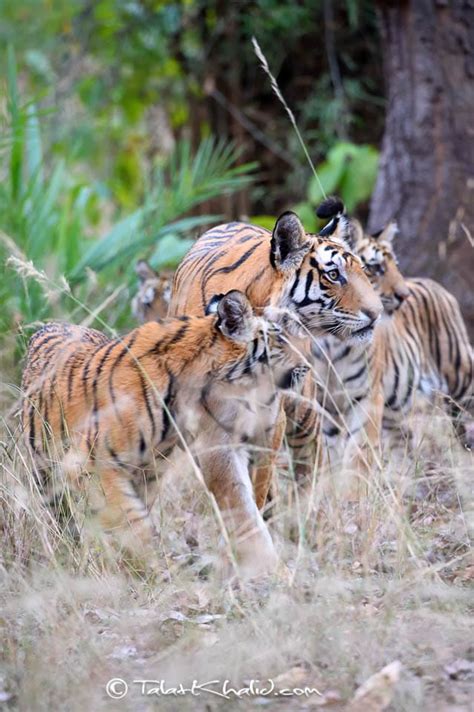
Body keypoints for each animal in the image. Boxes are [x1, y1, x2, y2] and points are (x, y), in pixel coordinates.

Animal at [21, 290, 286, 556]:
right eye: (282, 339)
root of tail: (51, 324)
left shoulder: (147, 472)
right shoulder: (90, 464)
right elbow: (131, 519)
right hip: (44, 472)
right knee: (62, 516)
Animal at [168, 204, 384, 572]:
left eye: (362, 272)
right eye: (333, 275)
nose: (377, 313)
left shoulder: (270, 420)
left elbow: (259, 484)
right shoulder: (209, 427)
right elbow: (235, 492)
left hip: (303, 414)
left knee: (306, 468)